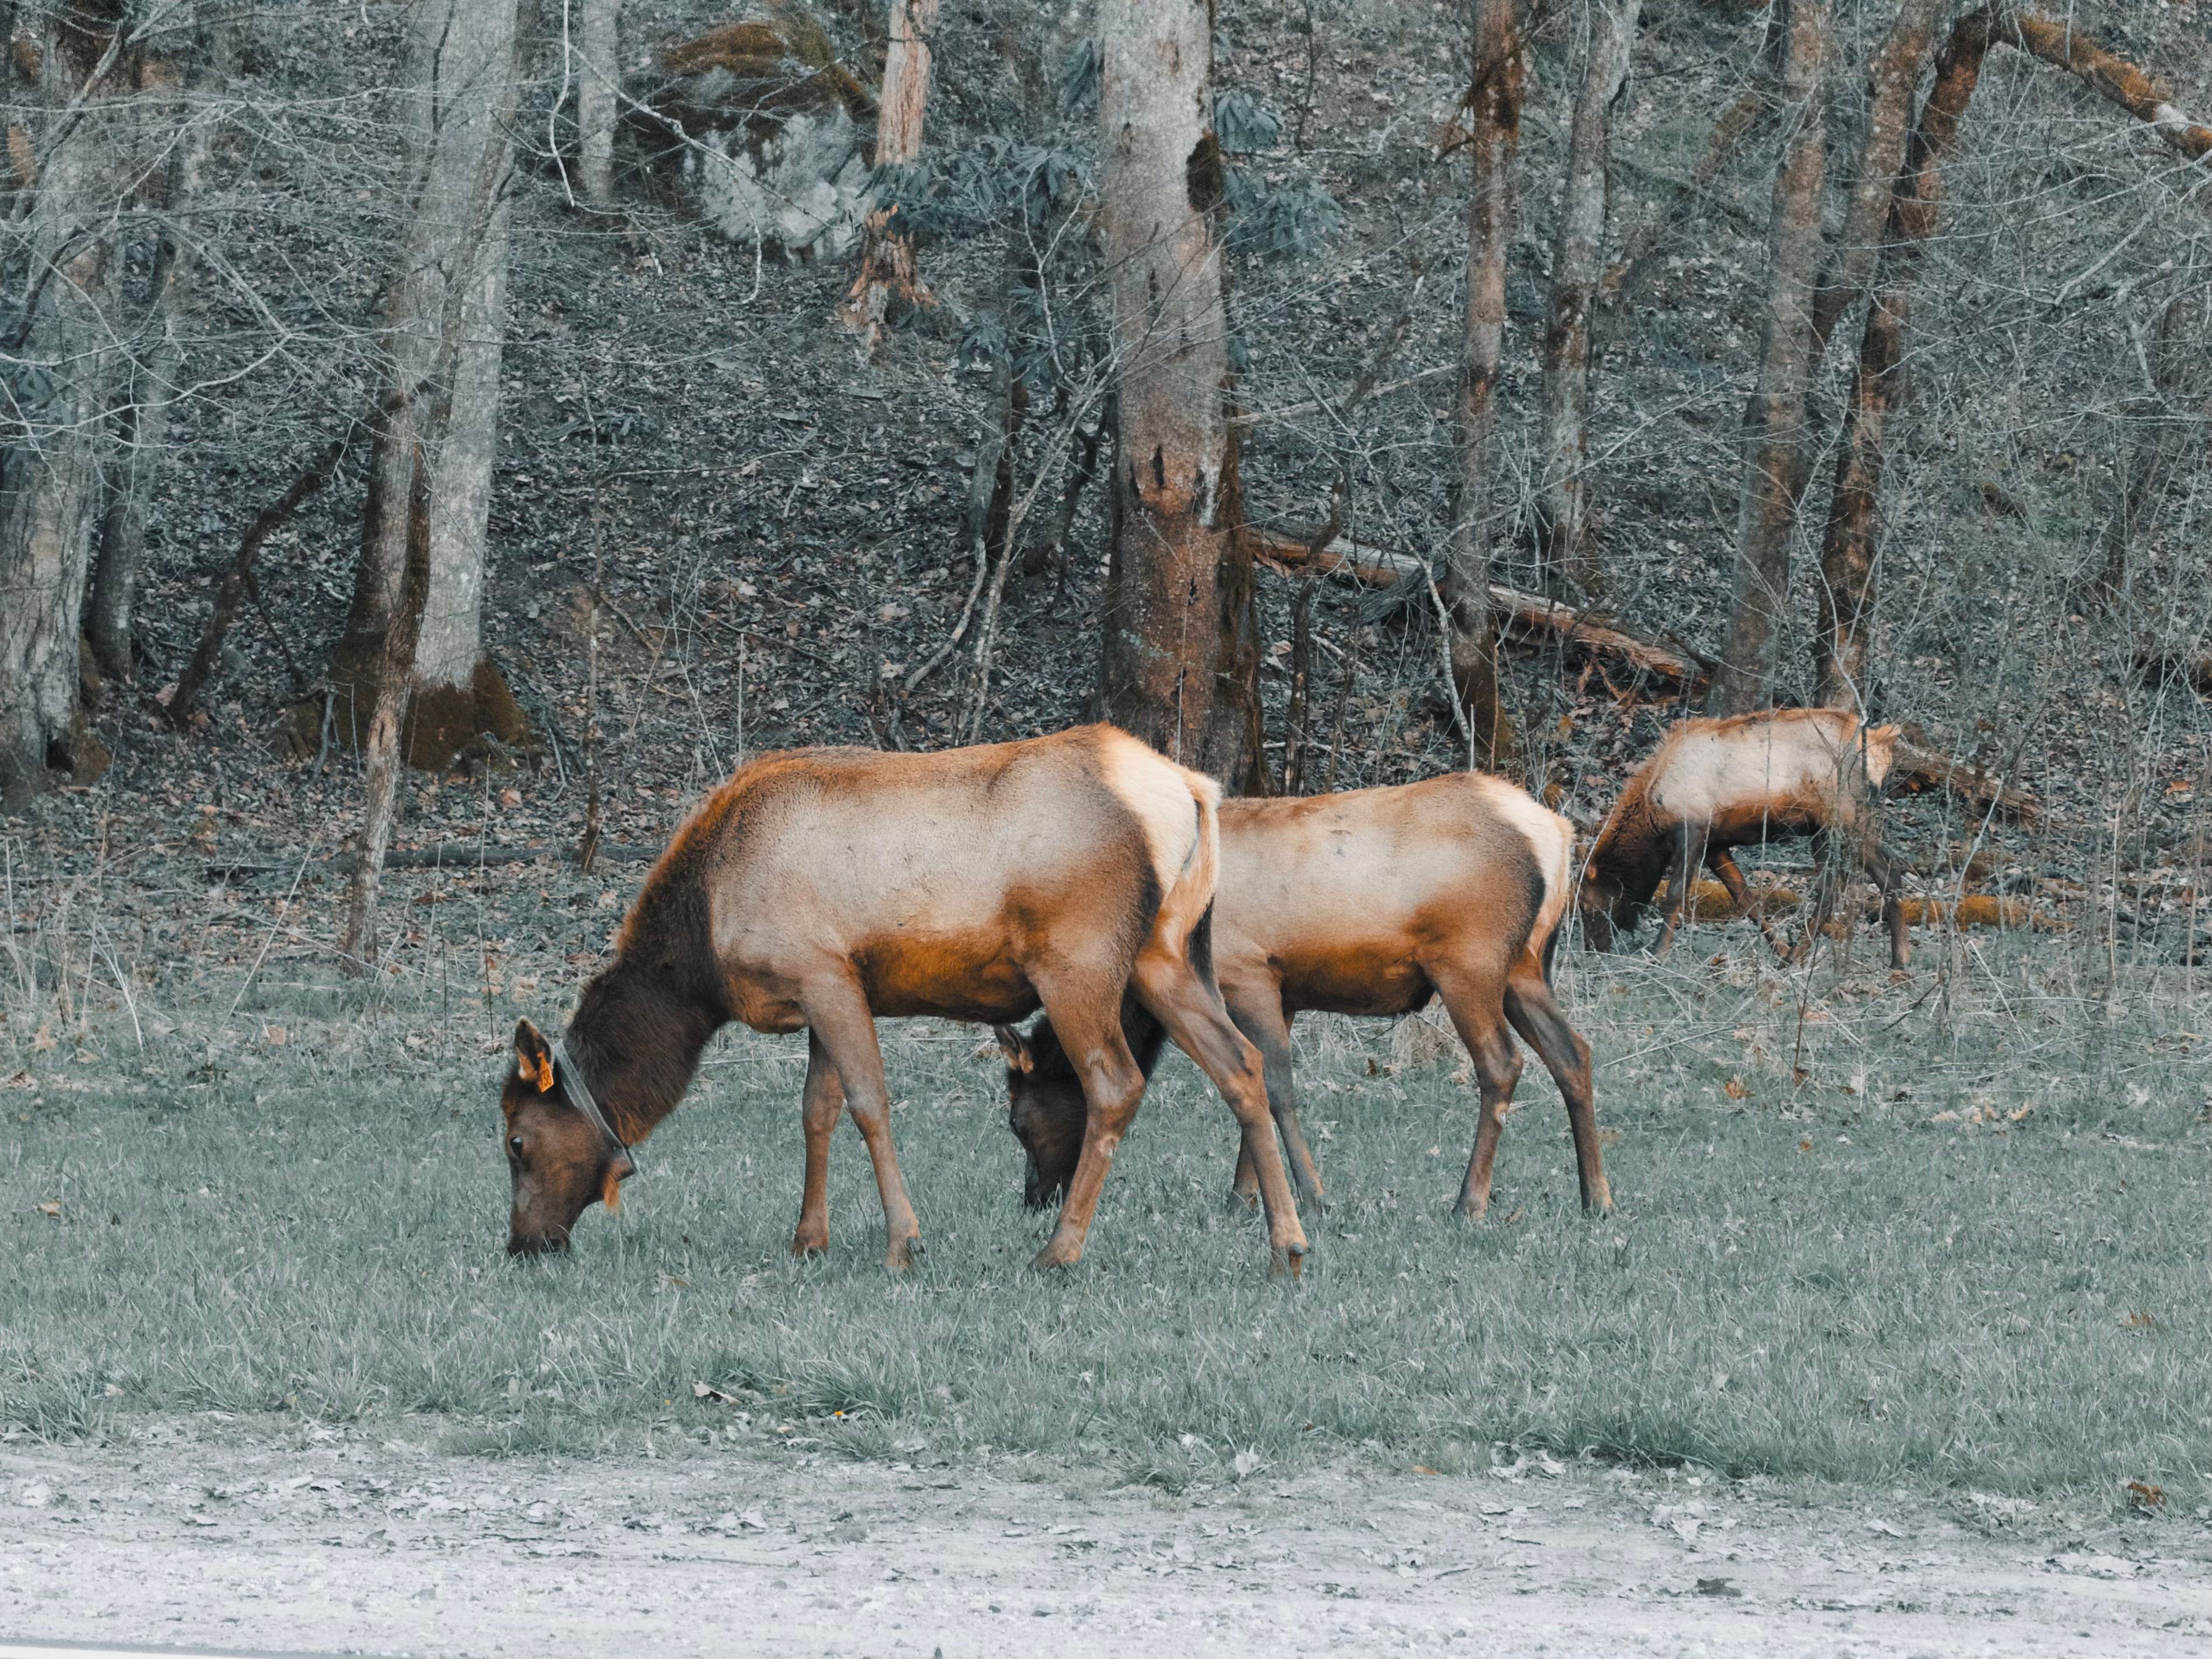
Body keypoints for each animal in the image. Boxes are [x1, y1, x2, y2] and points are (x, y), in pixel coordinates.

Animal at [501, 724, 1309, 1275]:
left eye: (515, 1141)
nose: (523, 1244)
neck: (700, 961)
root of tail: (1193, 792)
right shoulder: (823, 991)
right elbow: (816, 1110)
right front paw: (808, 1240)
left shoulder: (823, 971)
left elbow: (868, 1104)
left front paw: (902, 1241)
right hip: (1166, 954)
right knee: (1242, 1065)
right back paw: (1287, 1243)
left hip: (1077, 958)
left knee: (1116, 1083)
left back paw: (1059, 1250)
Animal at [996, 771, 1608, 1223]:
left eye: (1016, 1120)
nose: (1033, 1199)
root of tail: (1557, 835)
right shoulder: (1282, 991)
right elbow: (1256, 1083)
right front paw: (1244, 1200)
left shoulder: (1247, 974)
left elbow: (1276, 1087)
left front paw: (1311, 1197)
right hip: (1525, 966)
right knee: (1573, 1053)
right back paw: (1595, 1197)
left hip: (1469, 961)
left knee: (1501, 1064)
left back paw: (1469, 1202)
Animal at [1579, 708, 1909, 969]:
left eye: (1584, 904)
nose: (1592, 950)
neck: (1654, 815)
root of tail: (1882, 744)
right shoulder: (1715, 845)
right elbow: (1745, 898)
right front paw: (1780, 948)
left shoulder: (1693, 828)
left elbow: (1675, 895)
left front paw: (1658, 954)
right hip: (1823, 829)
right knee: (1833, 888)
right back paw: (1797, 955)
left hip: (1847, 817)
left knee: (1888, 872)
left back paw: (1900, 959)